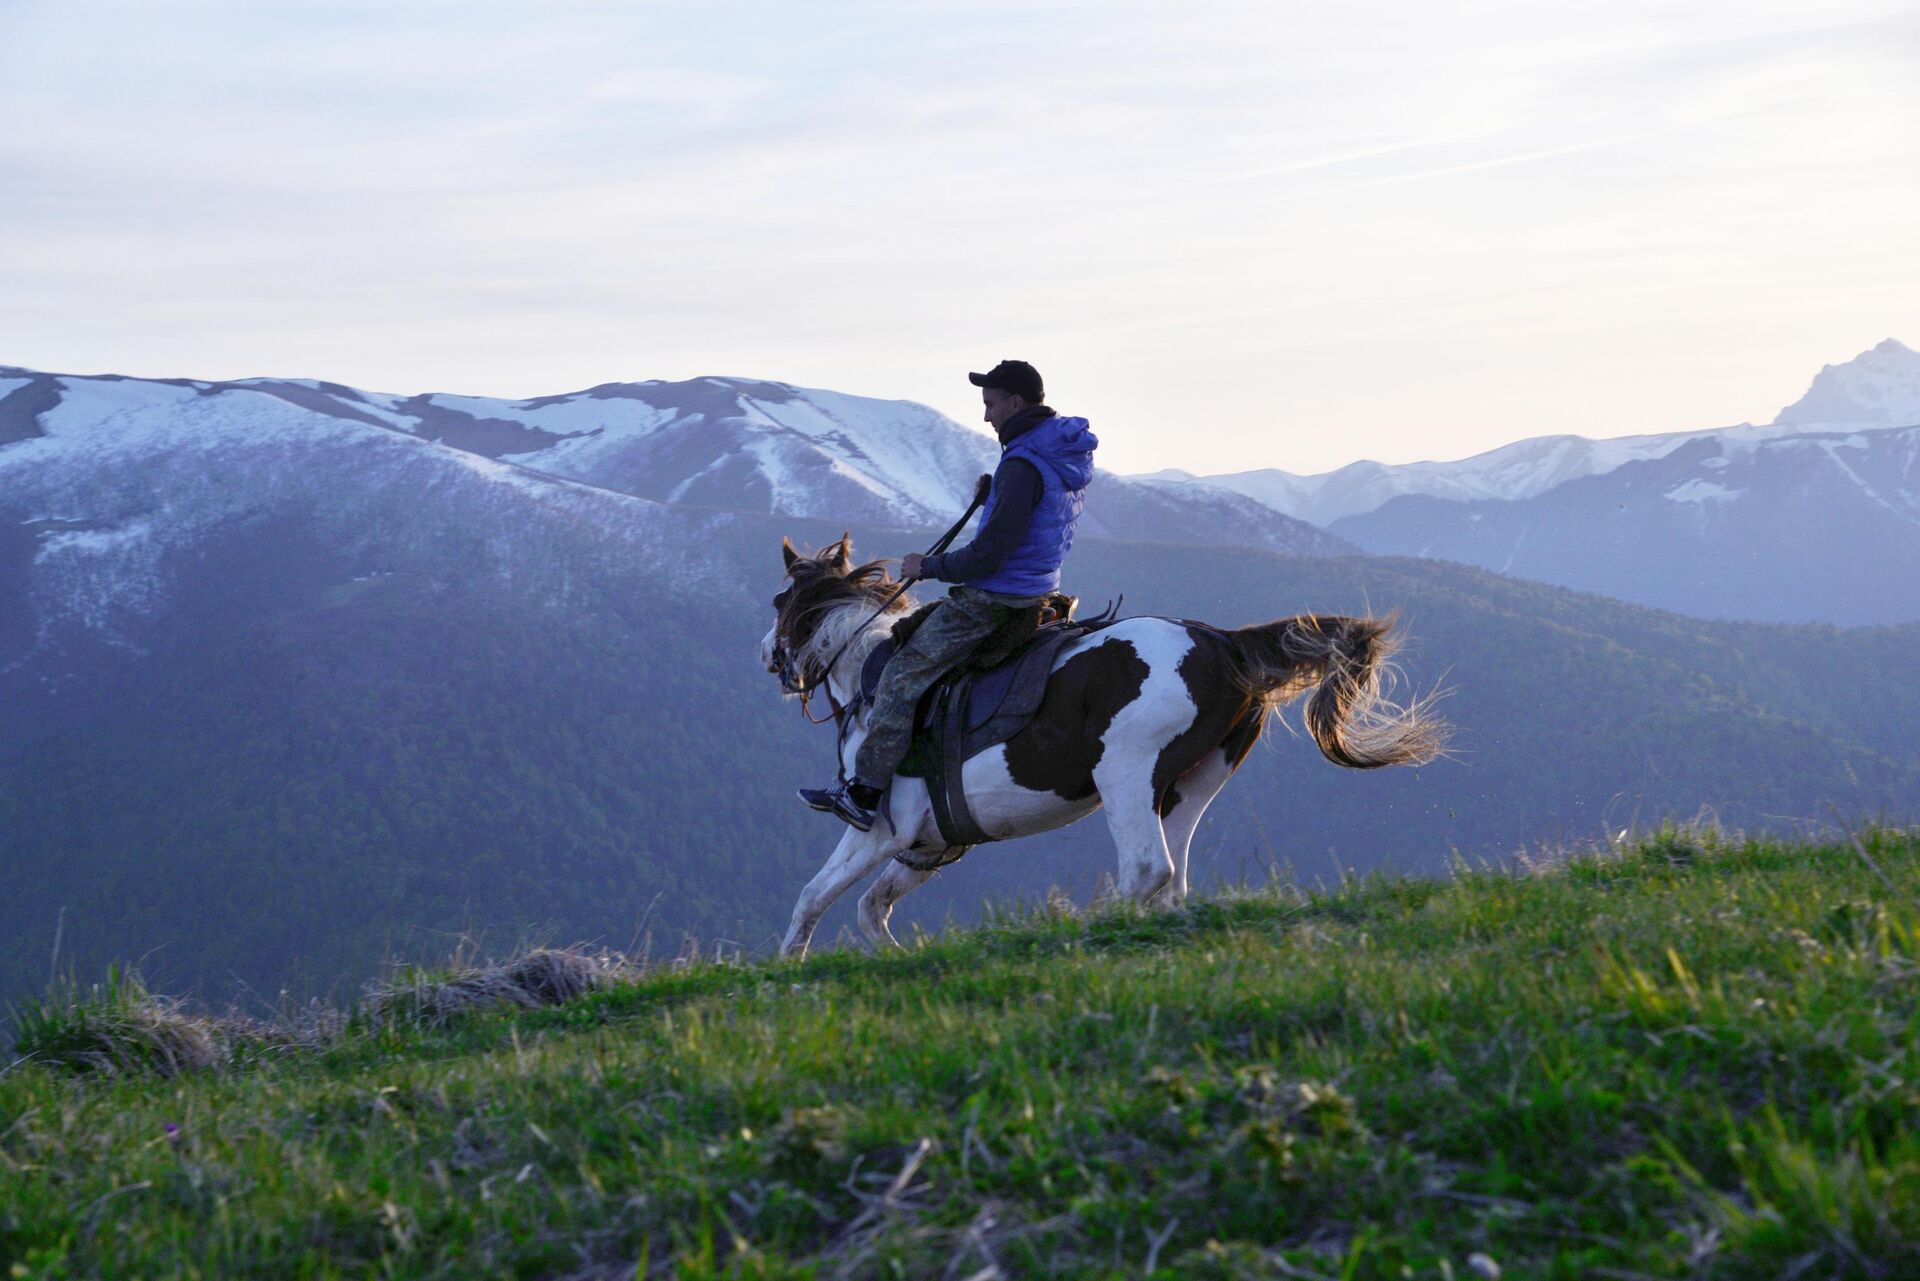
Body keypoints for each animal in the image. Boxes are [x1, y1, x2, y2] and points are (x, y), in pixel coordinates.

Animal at [756, 533, 1443, 960]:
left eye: (779, 599)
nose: (768, 655)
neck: (870, 676)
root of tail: (1223, 643)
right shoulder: (930, 841)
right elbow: (872, 908)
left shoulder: (880, 828)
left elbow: (815, 896)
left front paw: (787, 967)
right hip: (1192, 785)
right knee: (1173, 880)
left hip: (1126, 776)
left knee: (1146, 868)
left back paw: (1086, 932)